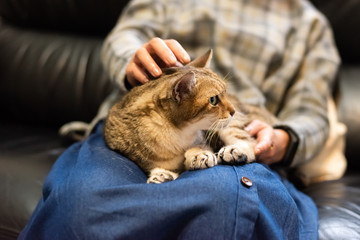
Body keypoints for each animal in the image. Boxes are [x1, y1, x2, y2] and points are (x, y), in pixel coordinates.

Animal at [102, 49, 278, 184]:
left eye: (226, 92)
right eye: (213, 100)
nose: (233, 111)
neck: (174, 133)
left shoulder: (203, 137)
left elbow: (199, 147)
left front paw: (199, 155)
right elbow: (151, 164)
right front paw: (162, 173)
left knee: (250, 145)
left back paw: (234, 151)